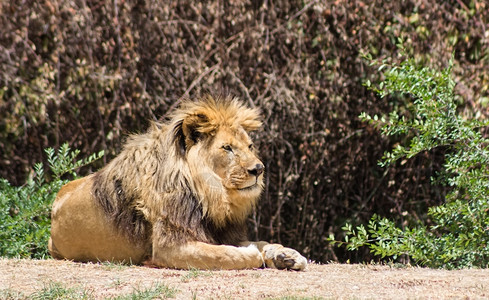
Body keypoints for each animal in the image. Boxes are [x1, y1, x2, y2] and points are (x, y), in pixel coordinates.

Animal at [46, 95, 304, 270]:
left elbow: (261, 242)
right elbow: (227, 254)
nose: (259, 169)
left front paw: (287, 255)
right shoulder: (170, 246)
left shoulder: (224, 233)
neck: (211, 195)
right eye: (227, 148)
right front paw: (254, 254)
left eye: (249, 146)